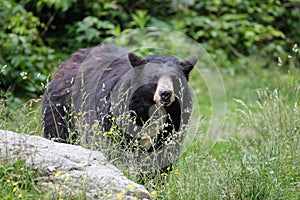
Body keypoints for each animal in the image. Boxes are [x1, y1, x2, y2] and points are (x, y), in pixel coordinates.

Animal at [42, 44, 197, 169]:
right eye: (154, 77)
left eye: (175, 78)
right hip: (61, 108)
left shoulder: (173, 124)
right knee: (59, 132)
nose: (165, 94)